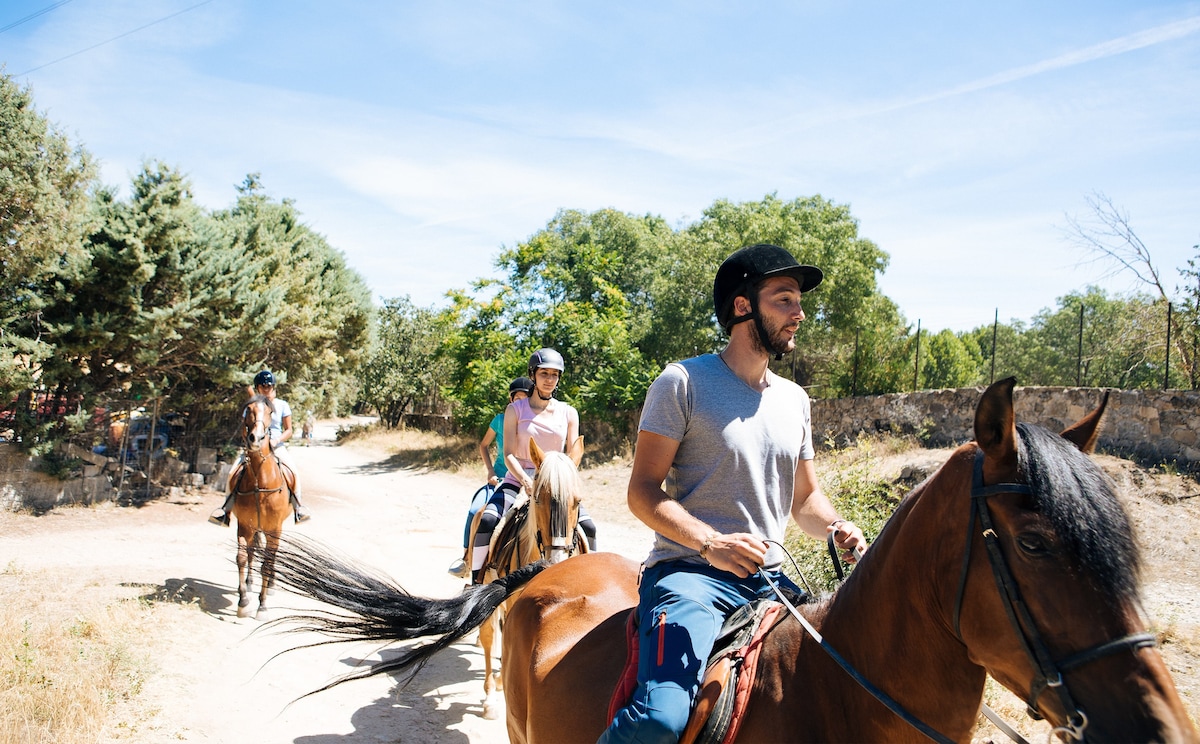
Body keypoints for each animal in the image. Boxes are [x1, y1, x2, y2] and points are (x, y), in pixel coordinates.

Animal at [230, 398, 294, 619]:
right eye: (248, 410)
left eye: (270, 412)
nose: (255, 438)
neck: (260, 483)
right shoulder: (244, 526)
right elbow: (242, 557)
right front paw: (243, 602)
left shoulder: (274, 528)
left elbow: (267, 564)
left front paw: (263, 606)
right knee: (251, 553)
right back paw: (249, 583)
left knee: (270, 558)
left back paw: (271, 584)